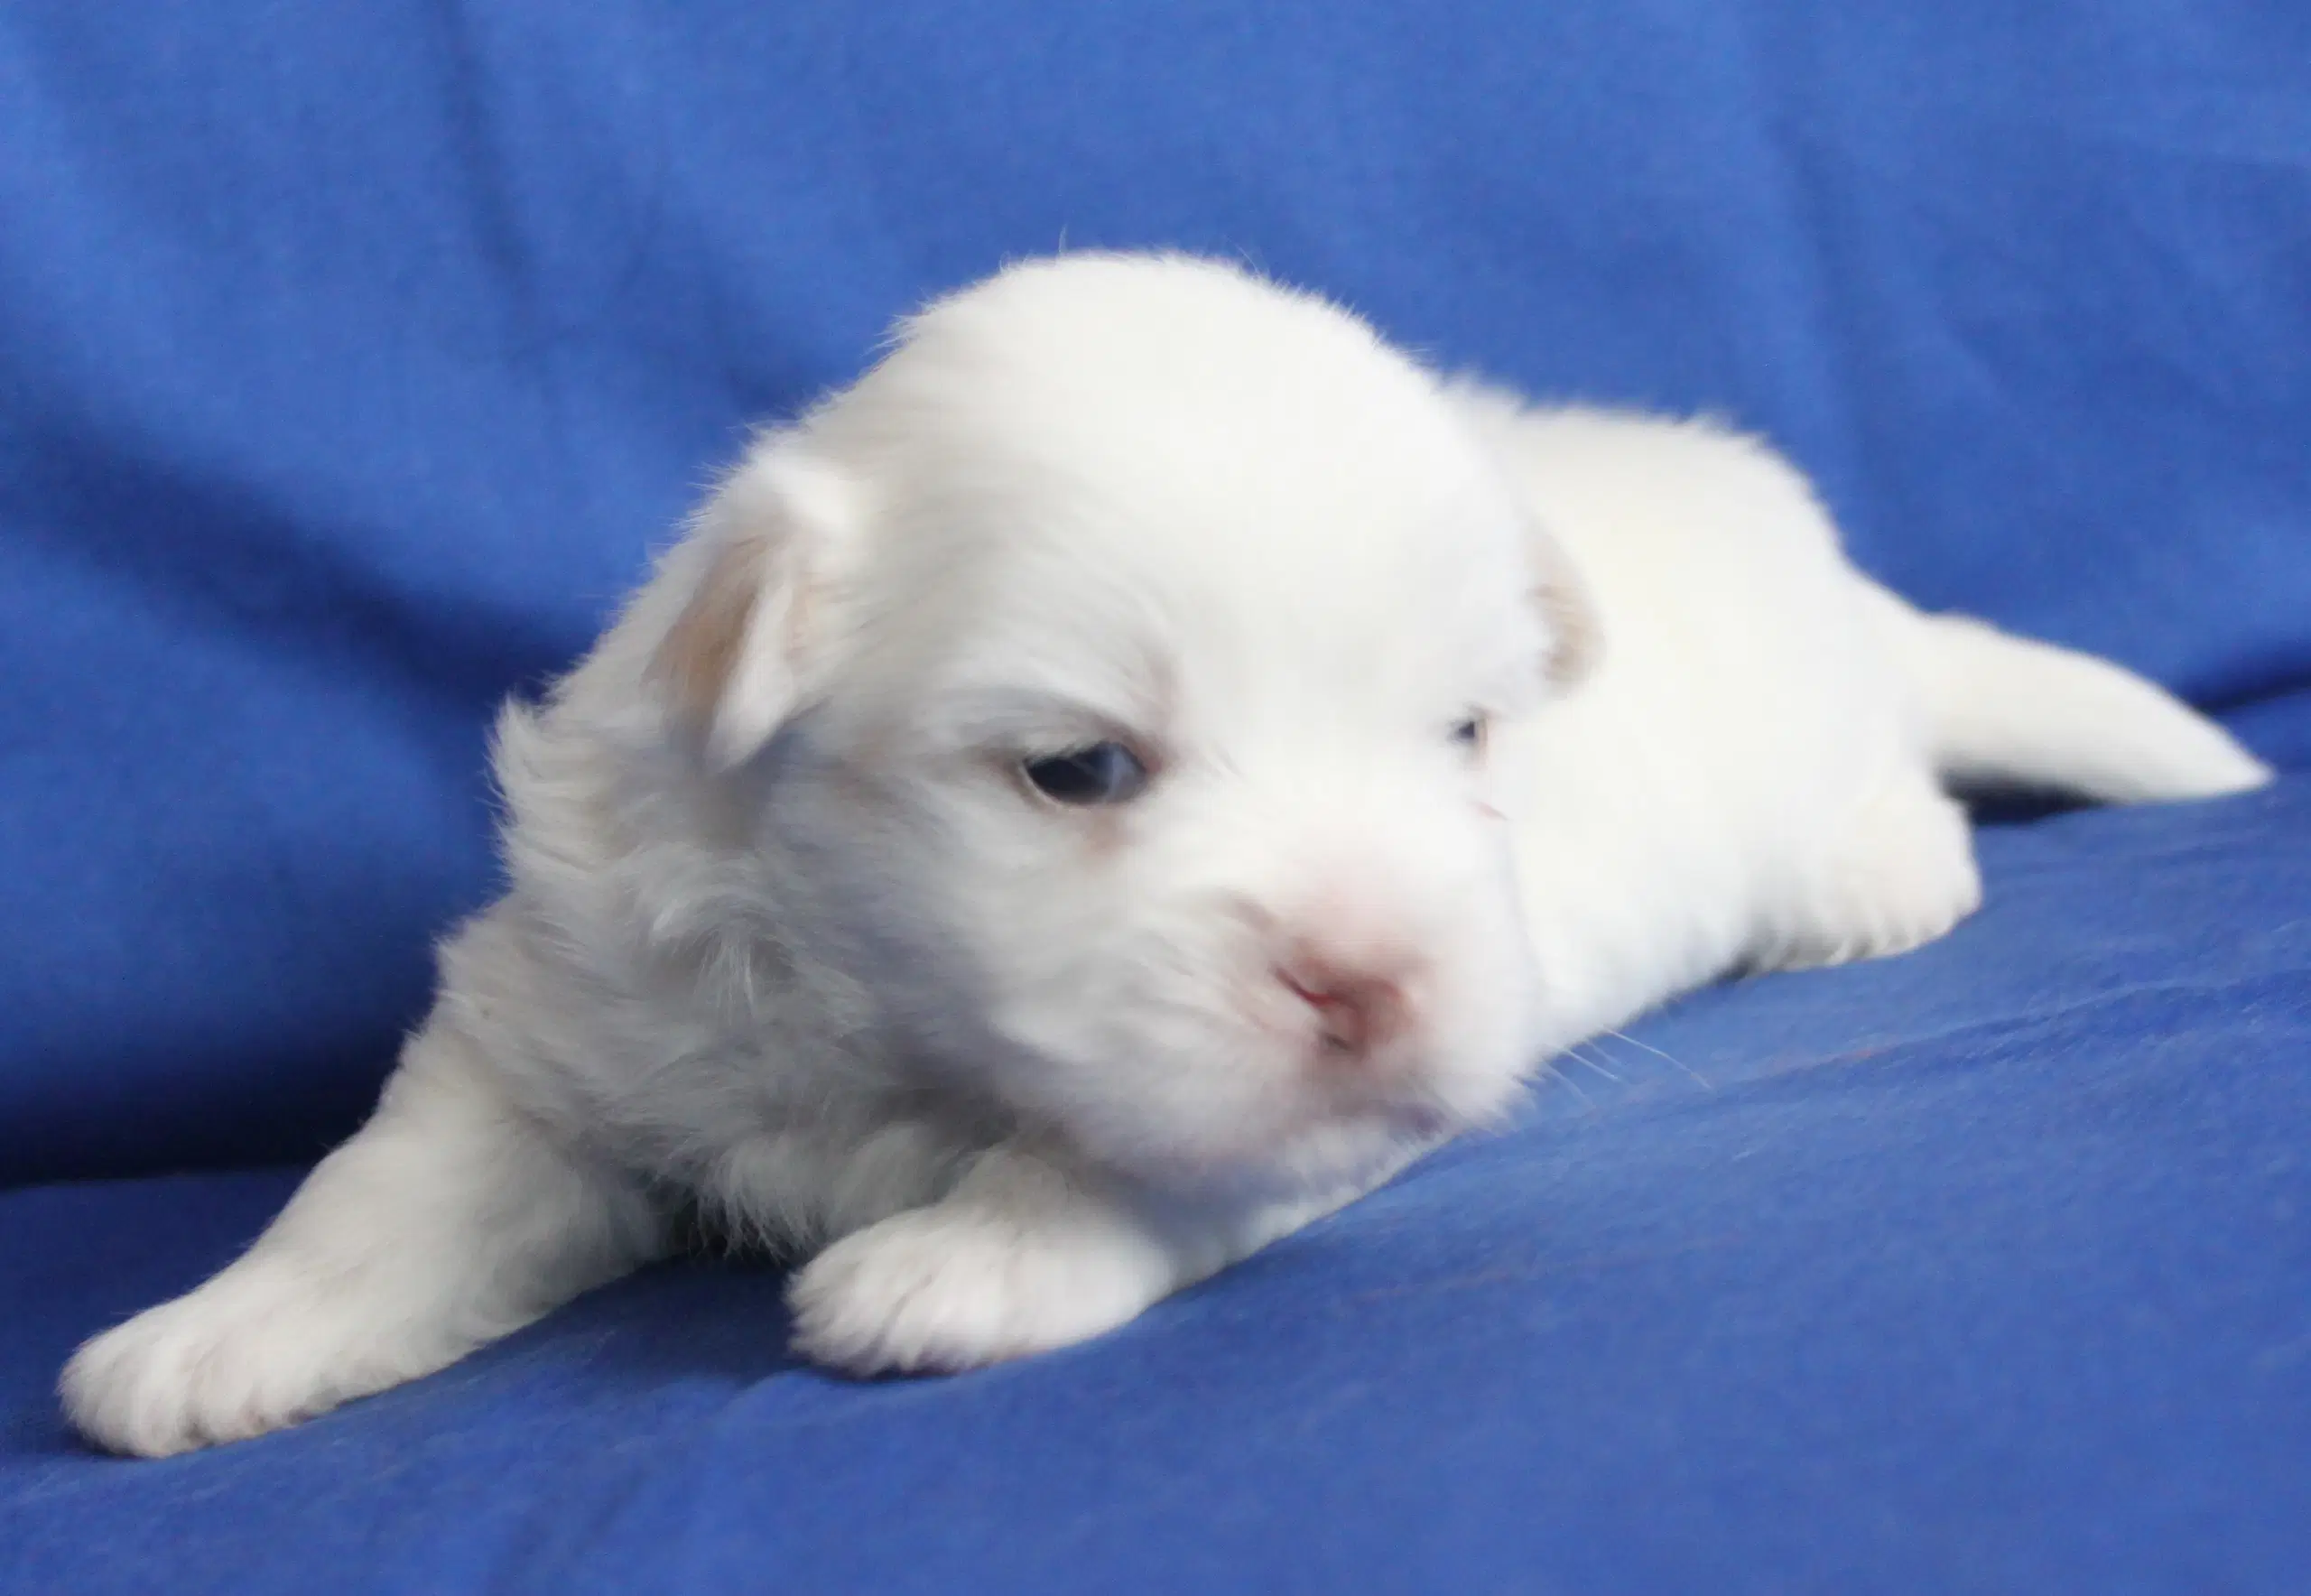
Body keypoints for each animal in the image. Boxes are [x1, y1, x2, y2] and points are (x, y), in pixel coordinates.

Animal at [58, 253, 2274, 1460]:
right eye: (1076, 768)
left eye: (1464, 737)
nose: (1375, 979)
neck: (887, 1020)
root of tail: (1831, 575)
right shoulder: (562, 1016)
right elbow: (382, 1184)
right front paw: (214, 1334)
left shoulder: (1296, 1095)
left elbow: (1132, 1156)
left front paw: (970, 1258)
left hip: (1824, 756)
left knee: (1898, 800)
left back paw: (1880, 878)